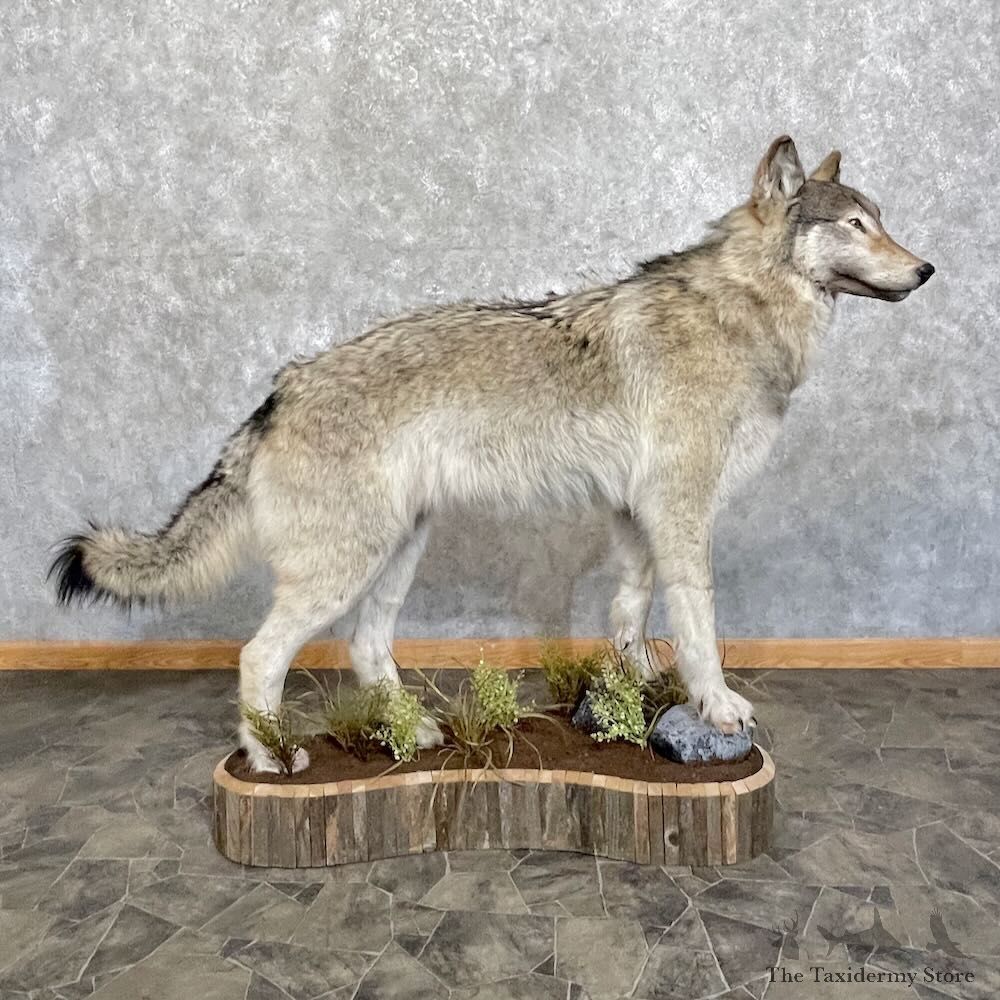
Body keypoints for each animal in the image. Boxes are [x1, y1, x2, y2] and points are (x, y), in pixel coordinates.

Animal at [51, 136, 934, 773]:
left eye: (880, 218)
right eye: (854, 226)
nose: (927, 269)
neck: (740, 313)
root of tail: (279, 392)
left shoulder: (635, 514)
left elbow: (629, 611)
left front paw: (629, 694)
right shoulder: (680, 511)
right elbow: (698, 621)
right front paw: (716, 707)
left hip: (396, 553)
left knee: (367, 650)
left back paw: (412, 733)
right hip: (344, 568)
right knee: (258, 656)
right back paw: (269, 759)